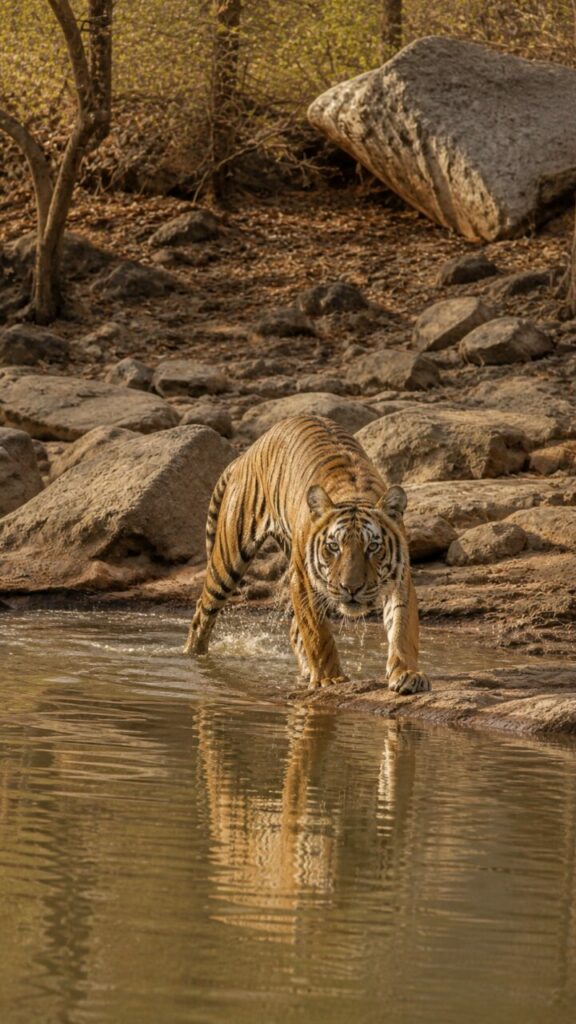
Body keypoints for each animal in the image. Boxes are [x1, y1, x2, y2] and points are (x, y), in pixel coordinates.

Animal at [183, 414, 430, 695]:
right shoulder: (304, 581)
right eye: (334, 547)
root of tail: (246, 453)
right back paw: (195, 659)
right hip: (229, 557)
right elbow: (319, 635)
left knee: (293, 630)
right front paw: (330, 679)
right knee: (202, 612)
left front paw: (407, 674)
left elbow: (402, 627)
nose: (351, 588)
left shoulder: (400, 579)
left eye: (372, 547)